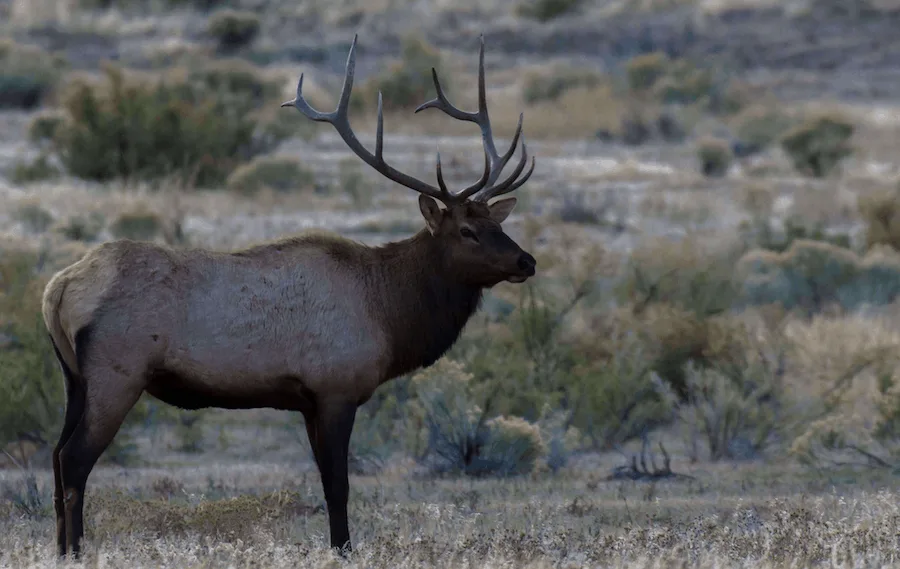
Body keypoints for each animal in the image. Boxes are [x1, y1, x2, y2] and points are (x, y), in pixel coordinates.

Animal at [42, 33, 536, 556]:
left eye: (497, 223)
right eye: (466, 230)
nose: (527, 262)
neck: (390, 313)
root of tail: (58, 289)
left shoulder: (308, 401)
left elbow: (325, 482)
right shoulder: (336, 387)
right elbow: (337, 486)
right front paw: (344, 550)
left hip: (75, 379)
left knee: (55, 456)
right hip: (117, 374)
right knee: (74, 460)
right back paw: (75, 551)